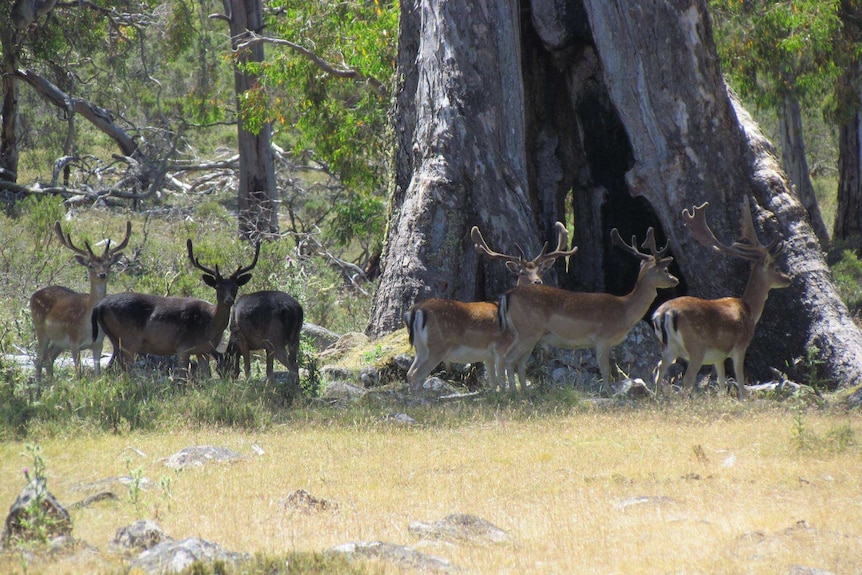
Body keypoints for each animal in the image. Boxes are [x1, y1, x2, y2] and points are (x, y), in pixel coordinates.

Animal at [29, 220, 131, 388]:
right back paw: (38, 388)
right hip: (41, 329)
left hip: (59, 342)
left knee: (49, 357)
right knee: (38, 359)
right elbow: (78, 374)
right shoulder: (74, 341)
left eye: (109, 264)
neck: (88, 326)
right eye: (90, 265)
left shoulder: (98, 344)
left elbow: (97, 374)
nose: (102, 274)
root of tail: (33, 295)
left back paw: (52, 386)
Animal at [93, 237, 260, 378]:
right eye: (218, 287)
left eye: (235, 287)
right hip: (129, 339)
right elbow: (181, 377)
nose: (229, 300)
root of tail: (99, 306)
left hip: (116, 340)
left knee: (110, 368)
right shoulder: (183, 347)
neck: (208, 325)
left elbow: (207, 377)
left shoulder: (203, 350)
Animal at [404, 223, 580, 394]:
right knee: (417, 375)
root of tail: (416, 310)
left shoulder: (487, 355)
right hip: (438, 346)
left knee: (410, 373)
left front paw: (495, 395)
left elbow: (493, 382)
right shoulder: (501, 347)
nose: (537, 282)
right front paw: (508, 395)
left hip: (421, 347)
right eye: (522, 272)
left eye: (541, 270)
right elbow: (502, 378)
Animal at [500, 227, 680, 394]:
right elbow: (605, 370)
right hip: (527, 331)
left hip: (529, 335)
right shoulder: (602, 338)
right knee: (507, 358)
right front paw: (609, 393)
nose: (676, 280)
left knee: (518, 362)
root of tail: (508, 295)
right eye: (666, 270)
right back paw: (513, 393)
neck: (624, 310)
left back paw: (524, 392)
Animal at [656, 196, 788, 398]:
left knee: (659, 370)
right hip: (696, 347)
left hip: (669, 347)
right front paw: (744, 399)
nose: (788, 278)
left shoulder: (718, 356)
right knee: (686, 379)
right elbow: (740, 382)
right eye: (777, 267)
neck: (749, 310)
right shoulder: (740, 346)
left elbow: (721, 383)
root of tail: (664, 314)